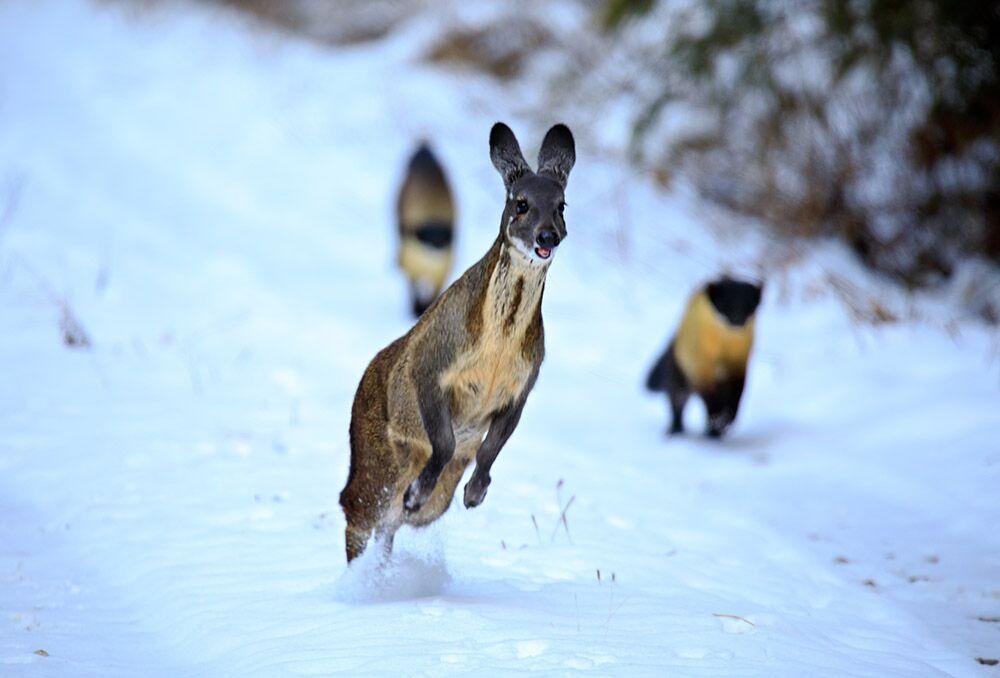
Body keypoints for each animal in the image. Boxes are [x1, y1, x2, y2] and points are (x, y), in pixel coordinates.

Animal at [340, 122, 576, 564]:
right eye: (521, 204)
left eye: (562, 205)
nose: (548, 237)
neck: (497, 348)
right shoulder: (431, 361)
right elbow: (445, 441)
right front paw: (419, 492)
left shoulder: (523, 386)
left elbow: (487, 450)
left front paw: (475, 493)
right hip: (375, 457)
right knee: (358, 508)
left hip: (428, 500)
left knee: (391, 523)